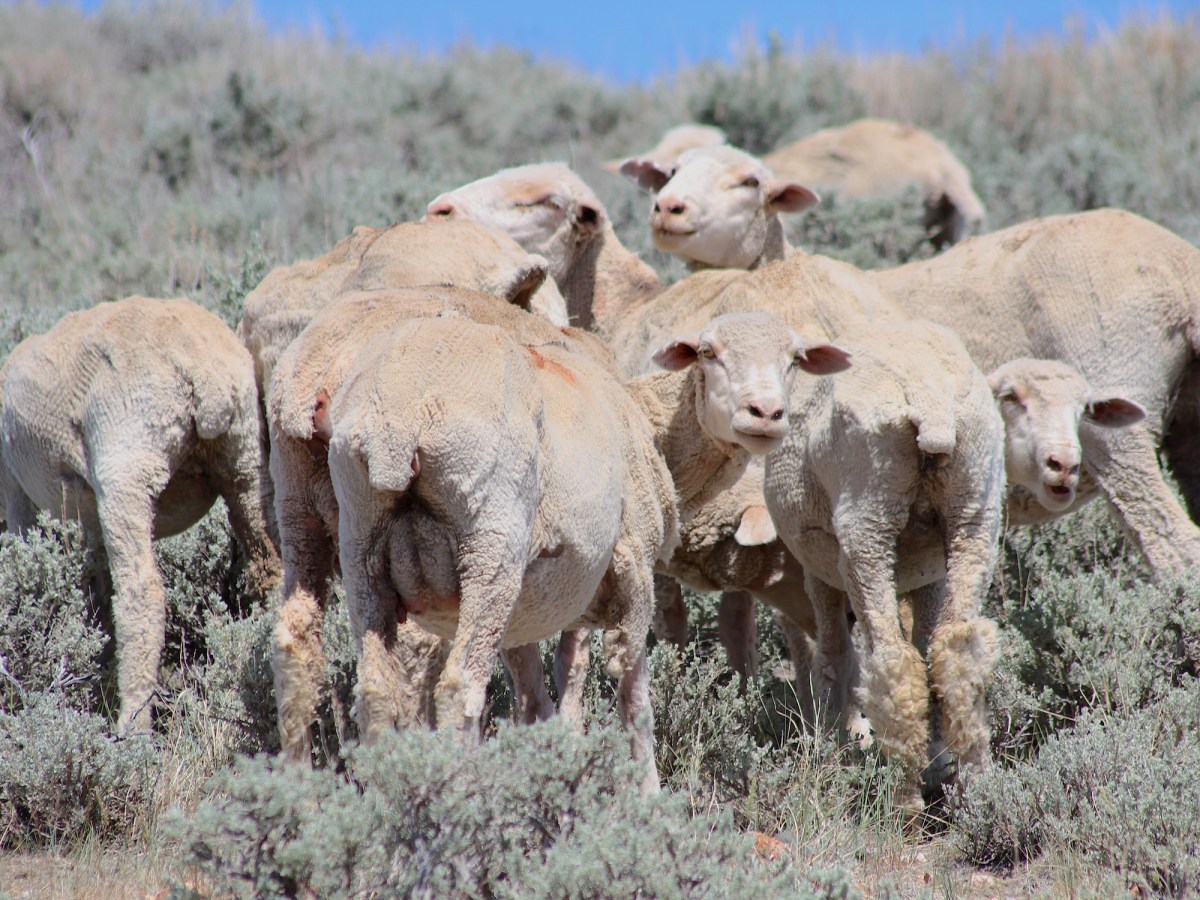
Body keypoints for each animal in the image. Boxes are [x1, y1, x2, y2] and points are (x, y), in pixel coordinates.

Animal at [0, 296, 281, 733]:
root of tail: (206, 373)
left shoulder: (17, 495)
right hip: (246, 459)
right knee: (271, 565)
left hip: (127, 469)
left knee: (141, 594)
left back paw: (132, 727)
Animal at [322, 311, 678, 795]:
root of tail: (398, 418)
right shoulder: (635, 571)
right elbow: (633, 695)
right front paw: (648, 795)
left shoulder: (525, 617)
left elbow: (540, 689)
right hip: (491, 549)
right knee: (460, 689)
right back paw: (464, 794)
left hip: (362, 549)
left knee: (377, 691)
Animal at [629, 144, 1200, 579]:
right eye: (672, 171)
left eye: (749, 182)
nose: (668, 207)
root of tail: (1179, 265)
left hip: (1117, 415)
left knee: (1173, 542)